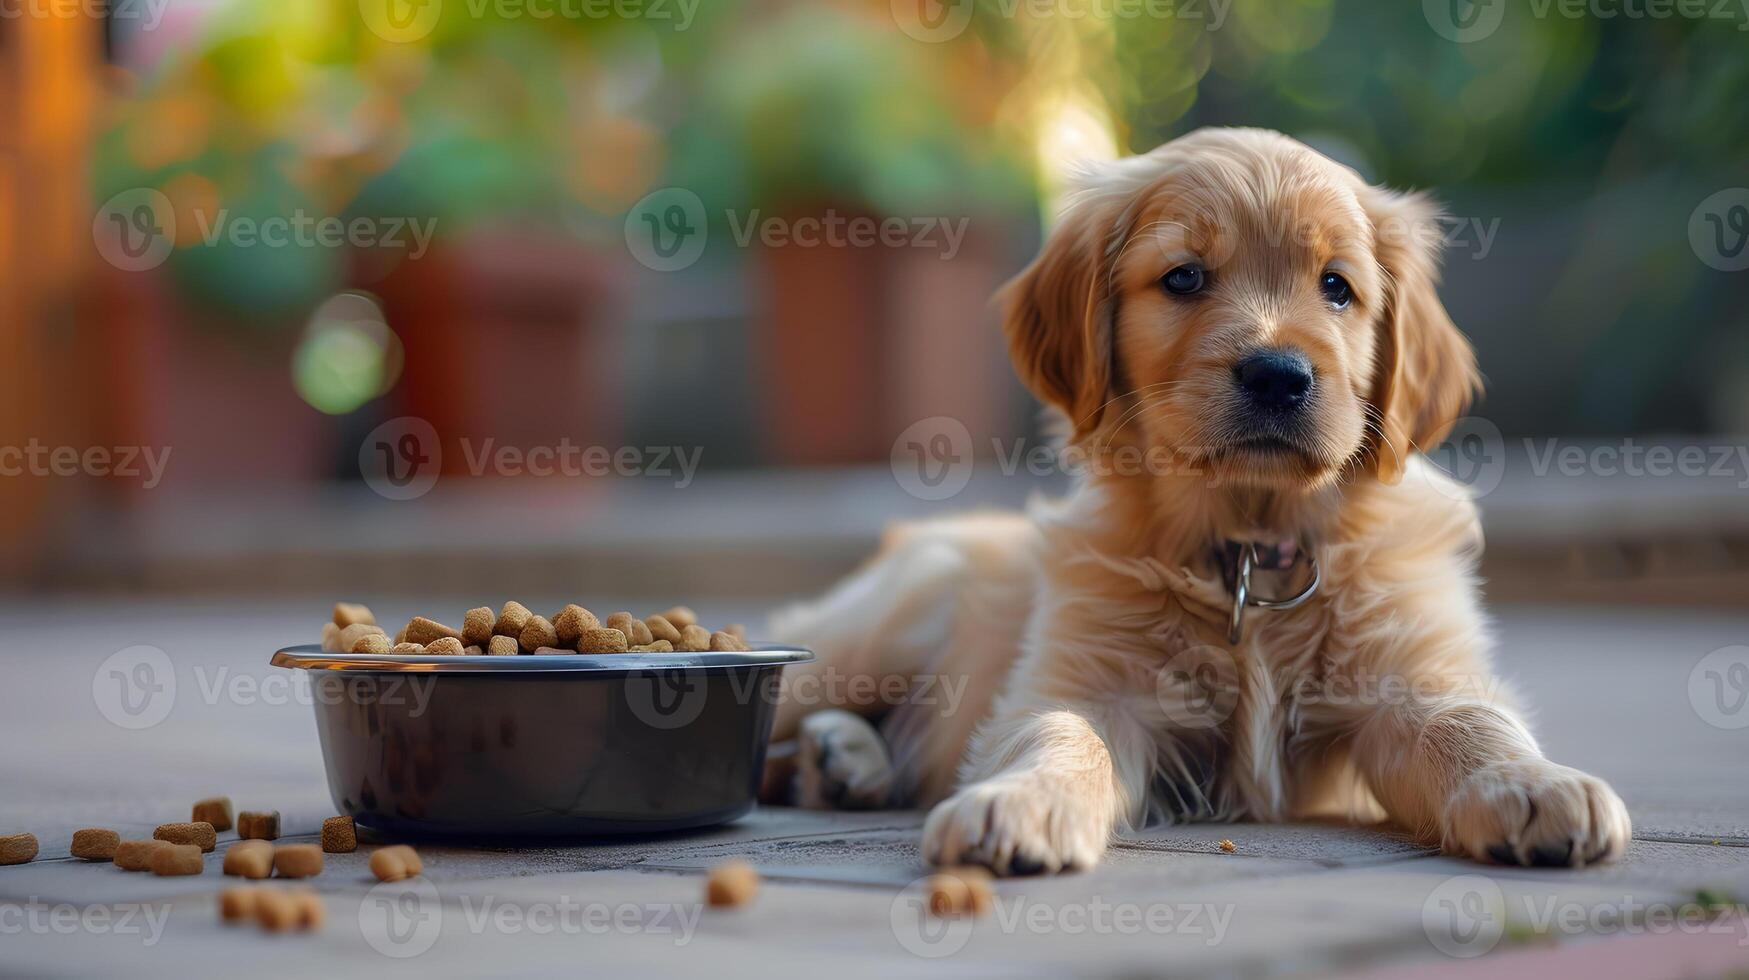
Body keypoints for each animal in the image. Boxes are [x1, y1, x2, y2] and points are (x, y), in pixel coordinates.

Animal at [766, 128, 1623, 871]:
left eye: (1336, 287)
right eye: (1183, 276)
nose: (1278, 375)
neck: (1248, 552)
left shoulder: (1406, 677)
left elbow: (1467, 721)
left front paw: (1532, 784)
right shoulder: (1092, 682)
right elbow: (1060, 730)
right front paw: (1020, 803)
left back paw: (844, 761)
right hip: (866, 636)